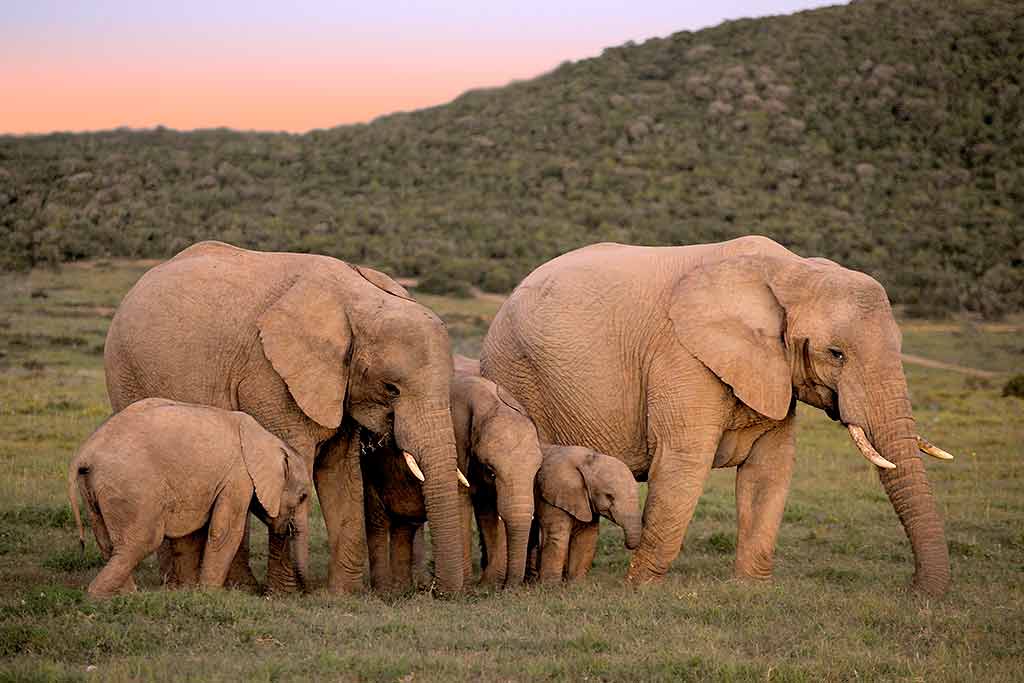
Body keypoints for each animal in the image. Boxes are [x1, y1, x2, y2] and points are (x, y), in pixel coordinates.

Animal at [68, 401, 309, 598]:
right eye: (303, 497)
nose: (306, 592)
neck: (269, 439)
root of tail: (84, 453)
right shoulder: (238, 477)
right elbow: (226, 532)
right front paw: (209, 593)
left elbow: (190, 535)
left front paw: (190, 590)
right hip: (130, 485)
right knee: (142, 540)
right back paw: (100, 596)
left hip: (93, 488)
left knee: (107, 542)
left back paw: (125, 594)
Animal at [103, 240, 464, 593]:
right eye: (392, 389)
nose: (436, 591)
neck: (359, 298)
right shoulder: (269, 375)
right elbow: (295, 460)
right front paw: (286, 593)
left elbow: (341, 473)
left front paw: (342, 595)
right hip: (126, 374)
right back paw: (191, 583)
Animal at [360, 356, 544, 589]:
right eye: (491, 470)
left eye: (537, 472)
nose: (508, 588)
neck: (488, 402)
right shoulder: (455, 437)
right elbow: (461, 501)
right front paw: (468, 585)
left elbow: (487, 509)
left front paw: (486, 584)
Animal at [528, 446, 638, 585]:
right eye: (609, 496)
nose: (628, 545)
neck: (587, 459)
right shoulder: (551, 494)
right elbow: (557, 536)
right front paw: (550, 586)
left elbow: (586, 536)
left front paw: (576, 584)